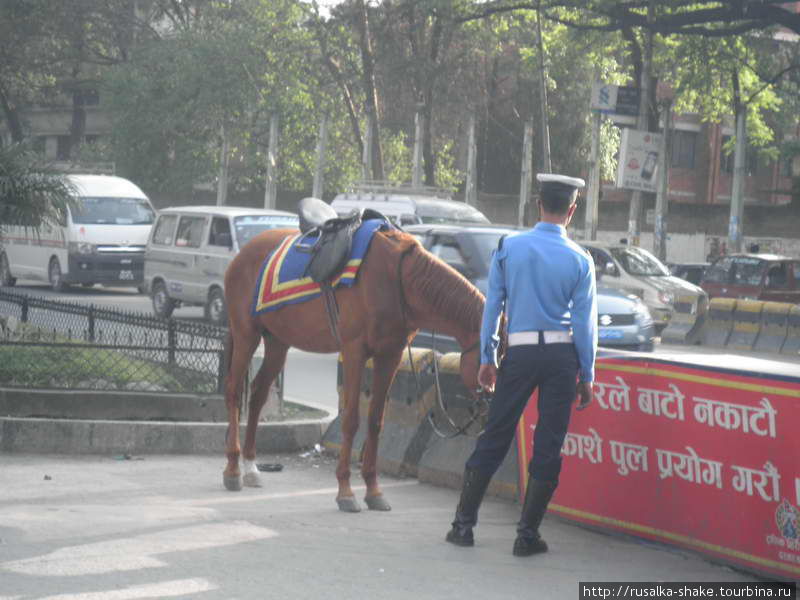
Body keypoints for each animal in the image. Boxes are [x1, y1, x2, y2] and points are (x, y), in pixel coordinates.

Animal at [222, 225, 484, 510]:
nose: (490, 395)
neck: (398, 278)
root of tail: (242, 253)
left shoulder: (390, 355)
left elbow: (376, 421)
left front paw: (373, 490)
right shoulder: (354, 351)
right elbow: (350, 420)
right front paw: (346, 491)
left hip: (277, 340)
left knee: (257, 393)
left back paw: (250, 467)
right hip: (246, 333)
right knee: (233, 391)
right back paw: (233, 469)